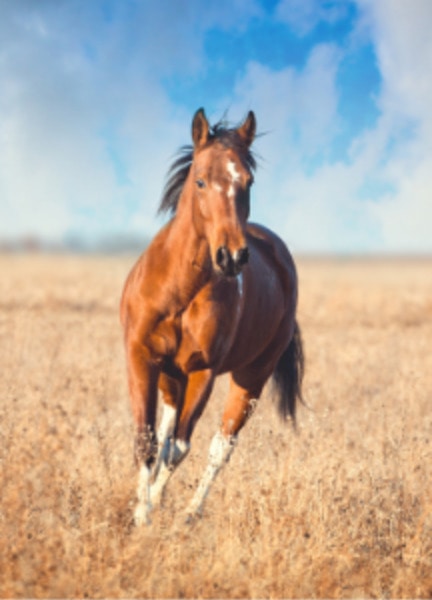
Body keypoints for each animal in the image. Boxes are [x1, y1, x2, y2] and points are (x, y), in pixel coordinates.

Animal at [120, 108, 306, 524]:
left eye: (248, 182)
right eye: (201, 180)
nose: (231, 256)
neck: (179, 290)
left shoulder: (202, 371)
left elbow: (179, 449)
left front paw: (150, 514)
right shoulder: (142, 357)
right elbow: (147, 442)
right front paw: (141, 514)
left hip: (250, 377)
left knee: (221, 447)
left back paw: (190, 514)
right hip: (171, 377)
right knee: (167, 432)